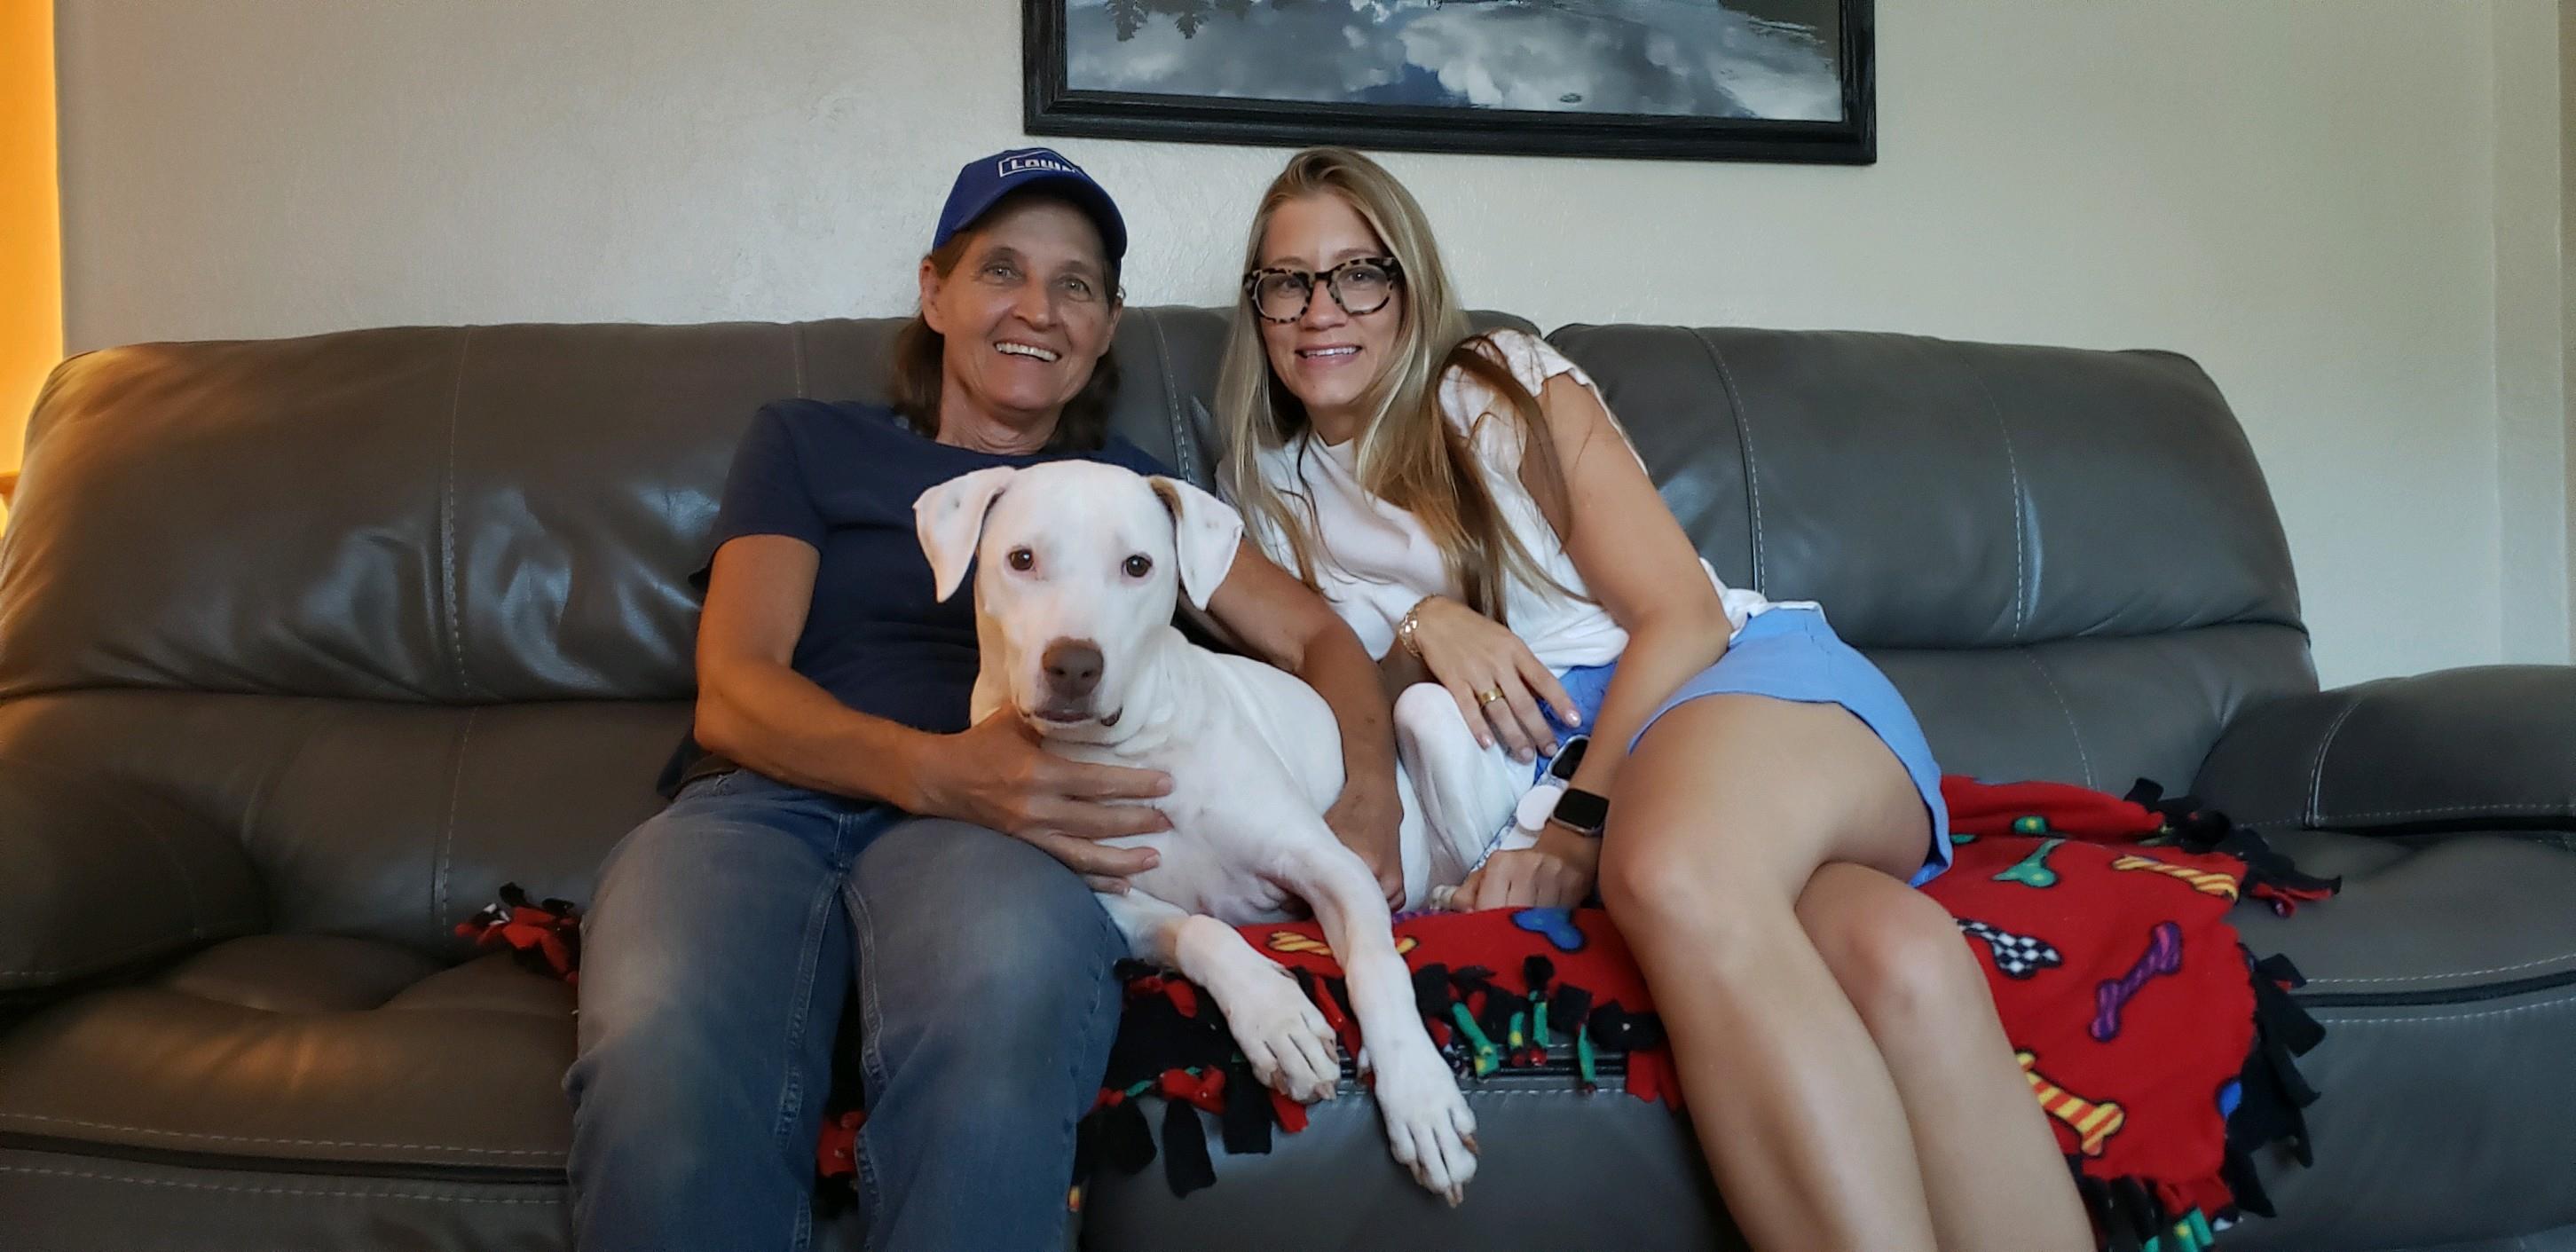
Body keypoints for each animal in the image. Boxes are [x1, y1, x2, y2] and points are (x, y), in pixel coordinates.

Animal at [913, 459, 1485, 1203]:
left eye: (1137, 565)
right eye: (1021, 560)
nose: (1073, 664)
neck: (1126, 753)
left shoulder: (1331, 865)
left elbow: (1376, 963)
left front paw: (1420, 1096)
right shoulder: (1116, 901)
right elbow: (1201, 930)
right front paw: (1275, 1015)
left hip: (1431, 727)